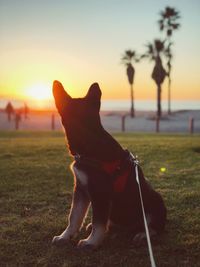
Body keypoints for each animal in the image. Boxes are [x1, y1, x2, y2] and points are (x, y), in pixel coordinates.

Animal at [51, 80, 166, 250]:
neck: (89, 139)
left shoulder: (100, 193)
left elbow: (98, 221)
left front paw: (91, 242)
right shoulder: (81, 189)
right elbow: (74, 217)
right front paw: (65, 236)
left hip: (155, 201)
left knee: (153, 226)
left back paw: (143, 234)